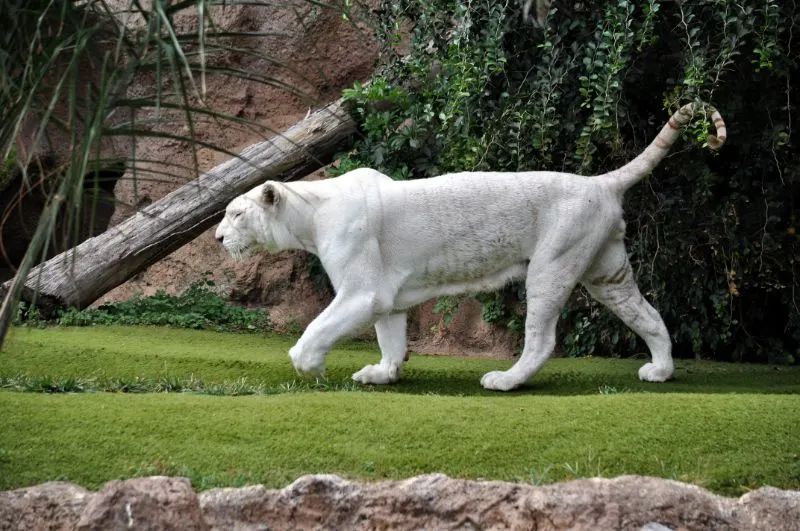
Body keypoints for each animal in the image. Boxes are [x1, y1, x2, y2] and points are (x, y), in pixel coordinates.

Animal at [217, 103, 724, 390]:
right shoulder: (386, 295)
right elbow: (390, 336)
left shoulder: (361, 292)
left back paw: (505, 381)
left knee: (542, 338)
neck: (308, 214)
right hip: (607, 272)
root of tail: (600, 182)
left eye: (236, 214)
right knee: (649, 314)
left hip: (553, 264)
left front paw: (311, 368)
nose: (219, 238)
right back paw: (660, 370)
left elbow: (318, 329)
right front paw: (383, 373)